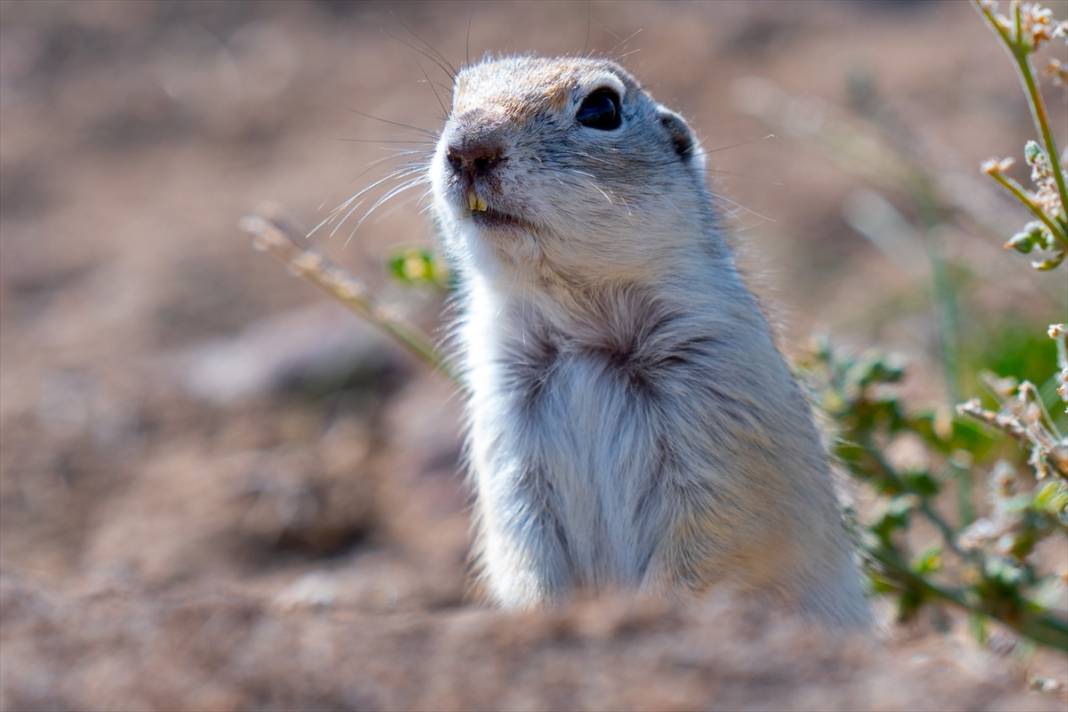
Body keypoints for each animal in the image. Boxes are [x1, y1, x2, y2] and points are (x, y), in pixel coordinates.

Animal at [429, 55, 871, 627]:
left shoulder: (719, 406)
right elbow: (521, 540)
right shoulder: (506, 426)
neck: (583, 330)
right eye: (456, 97)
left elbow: (709, 540)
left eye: (601, 108)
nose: (468, 147)